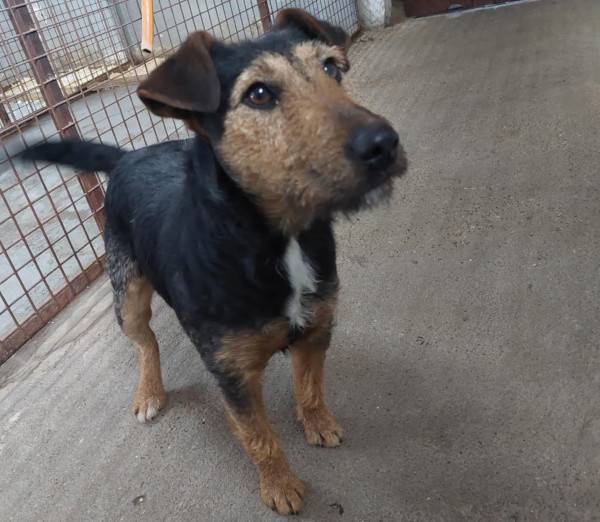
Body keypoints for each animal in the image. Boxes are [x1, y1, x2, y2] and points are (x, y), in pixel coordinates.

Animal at [22, 9, 407, 515]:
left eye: (332, 68)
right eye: (258, 94)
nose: (384, 143)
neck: (275, 240)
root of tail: (128, 156)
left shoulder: (317, 329)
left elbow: (310, 387)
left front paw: (318, 423)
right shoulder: (234, 376)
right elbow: (259, 437)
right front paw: (280, 486)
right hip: (127, 294)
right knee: (145, 342)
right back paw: (150, 391)